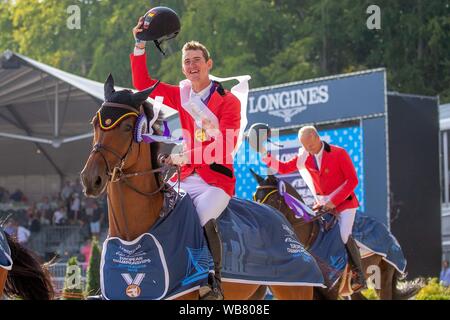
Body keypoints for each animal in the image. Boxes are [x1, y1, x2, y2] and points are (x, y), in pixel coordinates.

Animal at [80, 75, 312, 300]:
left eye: (127, 128)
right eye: (94, 123)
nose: (91, 179)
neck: (132, 234)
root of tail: (278, 215)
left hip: (294, 288)